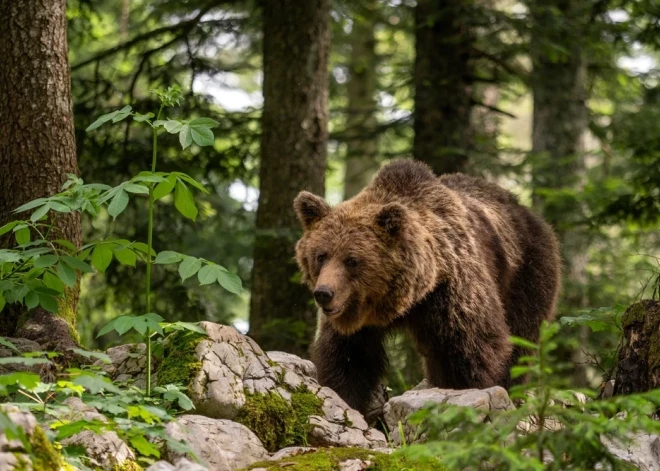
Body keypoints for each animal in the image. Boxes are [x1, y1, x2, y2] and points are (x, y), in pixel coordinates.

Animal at [292, 159, 556, 416]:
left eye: (352, 260)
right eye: (321, 256)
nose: (324, 293)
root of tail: (523, 207)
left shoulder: (453, 292)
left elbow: (472, 350)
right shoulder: (357, 321)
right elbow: (348, 358)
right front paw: (344, 398)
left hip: (526, 273)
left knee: (521, 340)